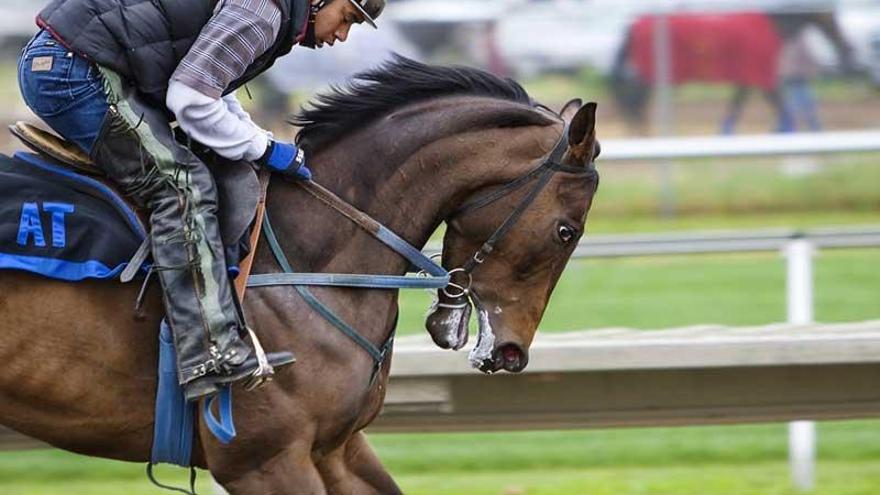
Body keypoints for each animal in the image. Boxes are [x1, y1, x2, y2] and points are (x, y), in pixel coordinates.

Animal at [608, 11, 856, 135]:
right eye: (831, 15)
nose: (847, 49)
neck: (771, 27)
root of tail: (634, 24)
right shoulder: (761, 77)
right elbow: (781, 107)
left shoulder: (747, 79)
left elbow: (737, 105)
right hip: (650, 74)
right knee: (634, 100)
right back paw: (639, 131)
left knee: (634, 100)